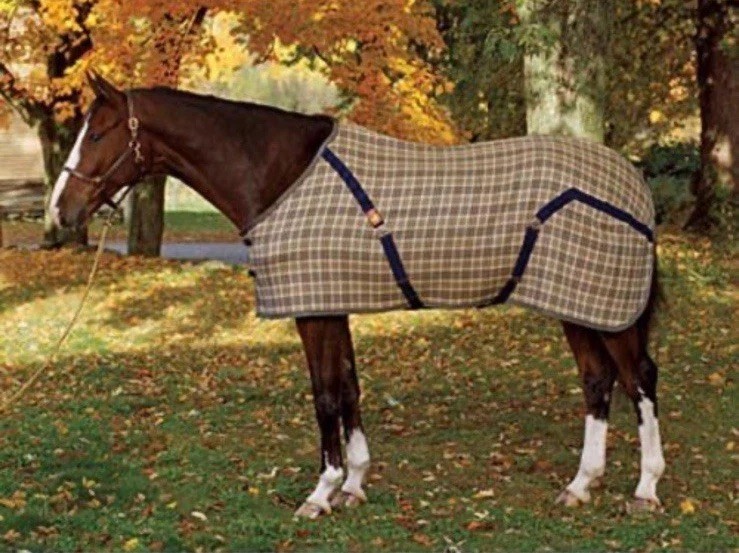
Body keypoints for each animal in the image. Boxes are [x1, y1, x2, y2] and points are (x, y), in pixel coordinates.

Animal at [51, 72, 665, 518]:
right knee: (597, 380)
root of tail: (636, 186)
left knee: (639, 379)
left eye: (97, 133)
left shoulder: (314, 309)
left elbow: (325, 394)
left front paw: (321, 492)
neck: (279, 176)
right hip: (578, 303)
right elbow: (348, 387)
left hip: (607, 308)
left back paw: (646, 489)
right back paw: (581, 485)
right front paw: (355, 482)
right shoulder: (333, 303)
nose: (61, 209)